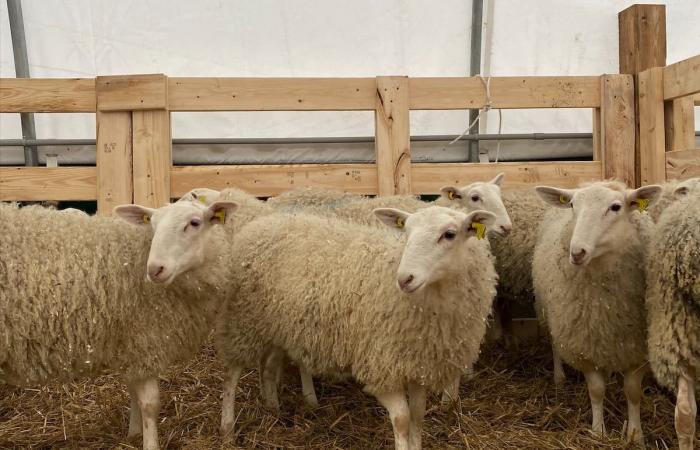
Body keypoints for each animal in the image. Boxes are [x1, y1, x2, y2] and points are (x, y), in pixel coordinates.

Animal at [0, 200, 238, 450]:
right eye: (152, 225)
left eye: (194, 223)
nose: (155, 269)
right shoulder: (146, 341)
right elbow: (150, 405)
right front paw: (149, 442)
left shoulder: (130, 341)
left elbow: (132, 389)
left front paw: (133, 433)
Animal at [213, 208, 498, 450]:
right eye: (405, 231)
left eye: (449, 234)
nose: (404, 279)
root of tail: (259, 224)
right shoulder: (380, 366)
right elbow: (403, 419)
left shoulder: (418, 365)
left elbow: (418, 415)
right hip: (242, 320)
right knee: (232, 373)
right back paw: (227, 428)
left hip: (277, 323)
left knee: (269, 366)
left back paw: (273, 407)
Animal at [532, 180, 660, 442]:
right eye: (572, 205)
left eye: (616, 207)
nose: (577, 252)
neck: (606, 306)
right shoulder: (584, 346)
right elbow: (596, 390)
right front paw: (598, 431)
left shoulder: (637, 349)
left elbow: (633, 392)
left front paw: (635, 434)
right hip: (551, 314)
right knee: (554, 344)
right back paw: (559, 377)